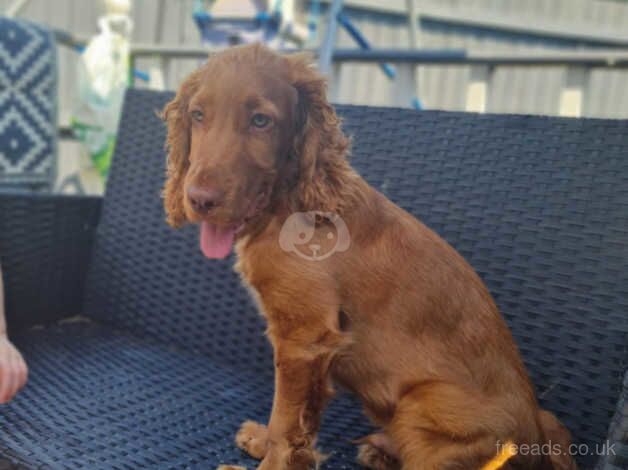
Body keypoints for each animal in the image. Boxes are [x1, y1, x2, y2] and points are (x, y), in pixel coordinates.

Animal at [163, 44, 580, 470]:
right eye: (198, 115)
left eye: (261, 121)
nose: (199, 200)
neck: (290, 204)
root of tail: (538, 442)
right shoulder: (317, 349)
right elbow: (301, 419)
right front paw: (276, 446)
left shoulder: (303, 339)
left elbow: (285, 417)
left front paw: (272, 458)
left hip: (422, 403)